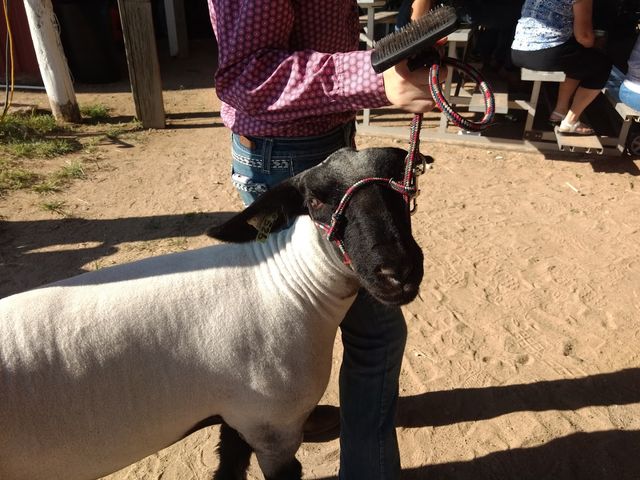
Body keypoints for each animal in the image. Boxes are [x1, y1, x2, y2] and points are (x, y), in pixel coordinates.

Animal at [0, 146, 424, 480]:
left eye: (404, 185)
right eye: (316, 201)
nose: (398, 271)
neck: (291, 284)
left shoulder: (239, 414)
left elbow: (228, 467)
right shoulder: (274, 426)